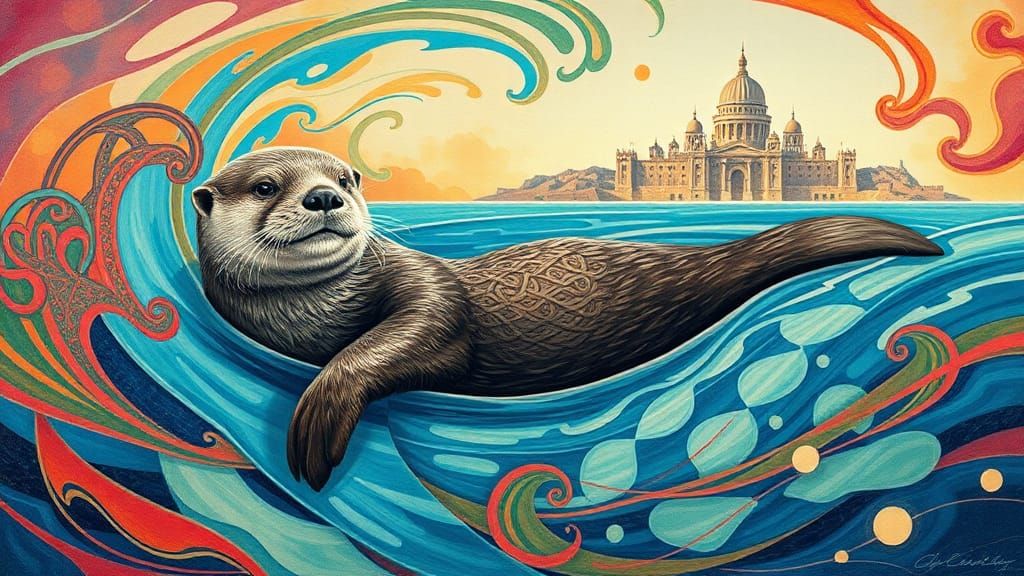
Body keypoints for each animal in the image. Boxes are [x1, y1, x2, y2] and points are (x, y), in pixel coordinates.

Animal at [192, 147, 943, 490]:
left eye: (347, 178)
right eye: (266, 186)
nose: (325, 196)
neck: (315, 313)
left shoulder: (426, 287)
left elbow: (425, 328)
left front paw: (320, 414)